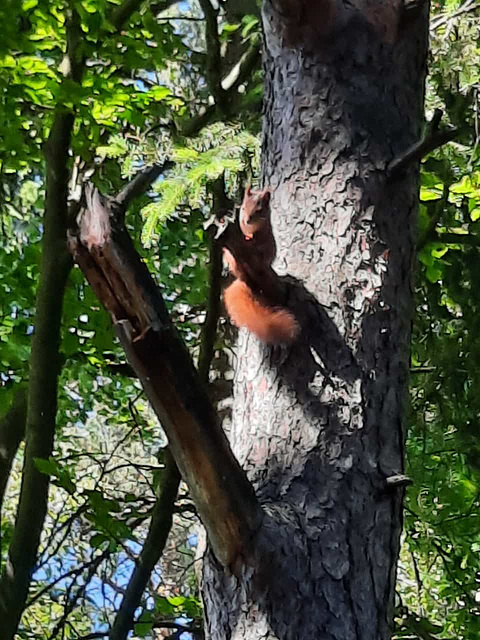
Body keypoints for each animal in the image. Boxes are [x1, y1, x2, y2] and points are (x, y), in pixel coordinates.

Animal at [223, 186, 298, 344]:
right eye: (243, 208)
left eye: (259, 210)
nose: (247, 219)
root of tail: (244, 279)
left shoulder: (265, 234)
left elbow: (260, 241)